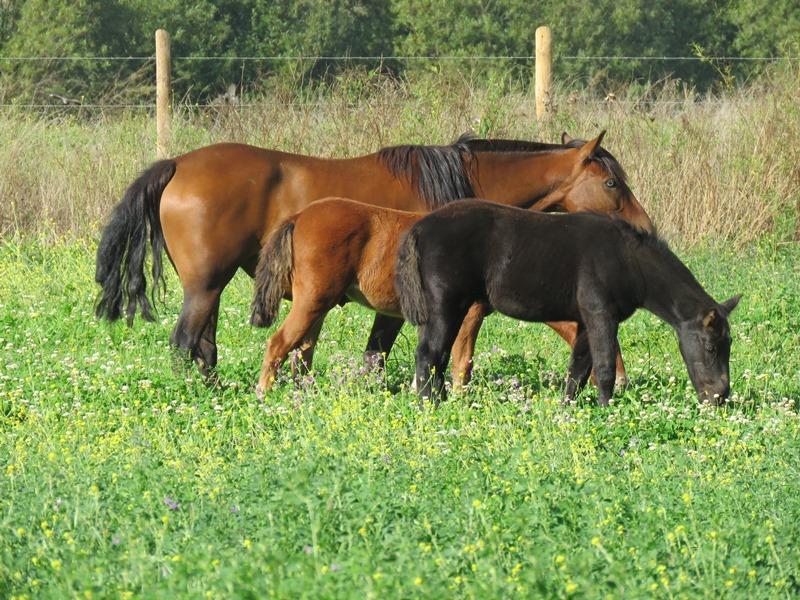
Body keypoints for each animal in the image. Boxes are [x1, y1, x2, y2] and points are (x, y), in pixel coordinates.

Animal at [95, 131, 652, 382]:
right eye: (612, 183)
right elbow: (379, 356)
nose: (643, 229)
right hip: (207, 285)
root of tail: (176, 164)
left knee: (204, 347)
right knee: (184, 343)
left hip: (212, 287)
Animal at [395, 200, 740, 407]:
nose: (720, 396)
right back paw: (430, 406)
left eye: (729, 345)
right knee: (428, 356)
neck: (628, 259)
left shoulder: (586, 320)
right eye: (711, 346)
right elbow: (603, 368)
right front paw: (607, 411)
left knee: (436, 359)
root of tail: (419, 229)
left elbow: (578, 370)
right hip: (446, 306)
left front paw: (568, 410)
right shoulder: (601, 314)